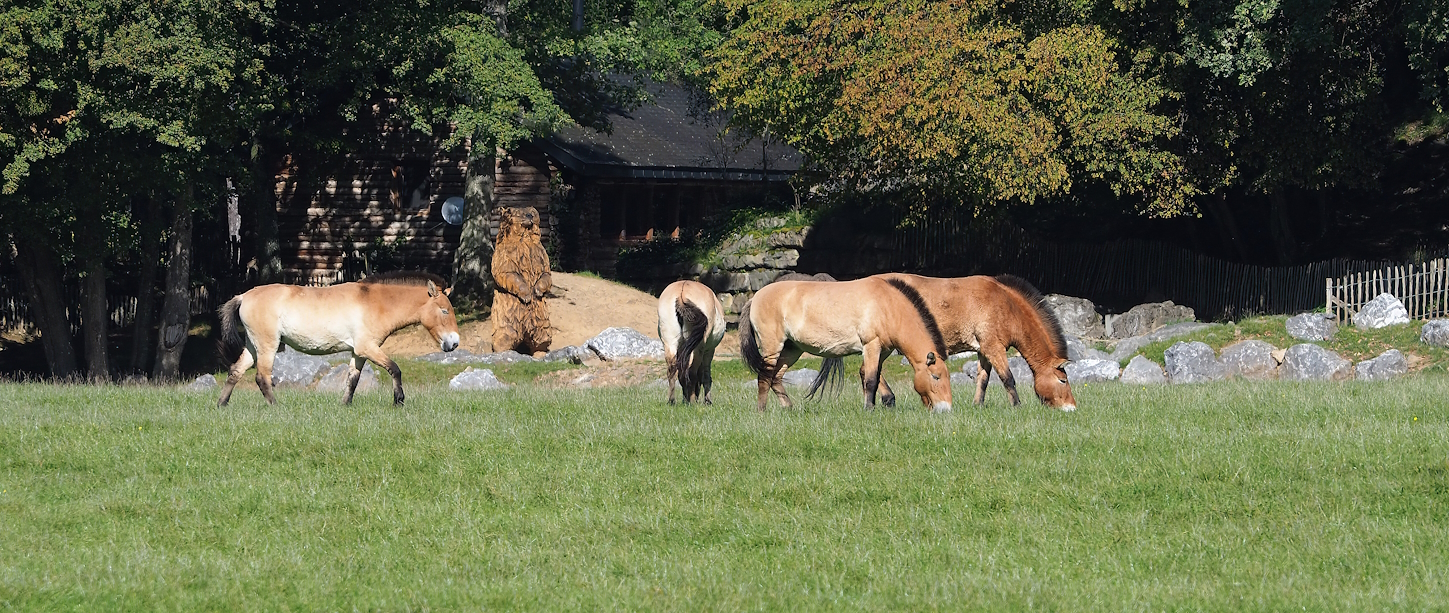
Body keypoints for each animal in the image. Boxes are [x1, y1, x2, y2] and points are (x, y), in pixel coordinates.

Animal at [215, 271, 460, 407]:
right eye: (444, 311)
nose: (454, 342)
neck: (376, 302)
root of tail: (243, 296)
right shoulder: (368, 348)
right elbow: (395, 369)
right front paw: (398, 400)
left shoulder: (358, 352)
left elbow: (353, 379)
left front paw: (345, 404)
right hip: (268, 346)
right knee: (262, 378)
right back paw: (276, 406)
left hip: (253, 347)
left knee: (235, 372)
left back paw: (221, 405)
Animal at [738, 277, 954, 412]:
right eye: (935, 376)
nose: (946, 409)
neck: (888, 306)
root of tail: (755, 298)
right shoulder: (871, 345)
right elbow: (871, 380)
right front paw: (869, 409)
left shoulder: (882, 350)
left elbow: (871, 375)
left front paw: (886, 402)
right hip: (772, 346)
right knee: (764, 377)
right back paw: (762, 411)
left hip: (792, 350)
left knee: (776, 377)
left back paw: (789, 408)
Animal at [872, 273, 1076, 411]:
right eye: (1063, 380)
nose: (1072, 407)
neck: (1006, 305)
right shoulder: (994, 348)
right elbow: (1008, 378)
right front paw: (1017, 406)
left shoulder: (984, 351)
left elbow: (983, 380)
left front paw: (978, 405)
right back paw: (888, 399)